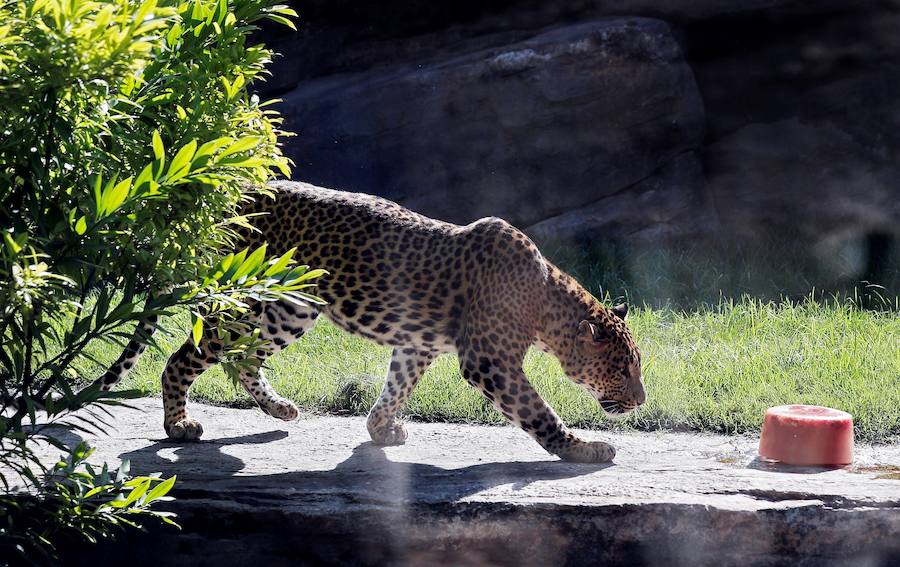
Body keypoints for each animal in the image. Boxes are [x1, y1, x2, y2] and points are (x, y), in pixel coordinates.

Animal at [95, 180, 644, 464]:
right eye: (622, 369)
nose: (640, 401)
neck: (547, 303)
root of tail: (230, 197)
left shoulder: (418, 345)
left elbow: (396, 386)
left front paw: (381, 430)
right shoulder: (489, 361)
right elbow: (537, 411)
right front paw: (583, 448)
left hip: (289, 310)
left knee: (246, 359)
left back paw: (280, 410)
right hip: (246, 304)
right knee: (182, 358)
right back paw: (178, 426)